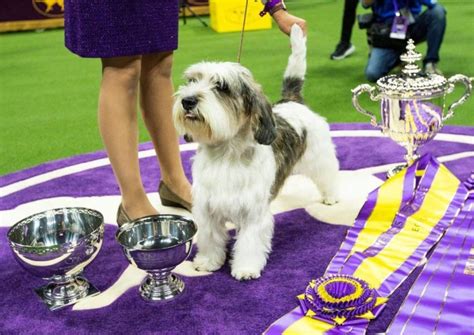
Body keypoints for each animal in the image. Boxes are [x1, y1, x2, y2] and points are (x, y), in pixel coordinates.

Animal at [172, 25, 338, 280]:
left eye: (221, 87)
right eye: (192, 80)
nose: (187, 101)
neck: (225, 155)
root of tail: (292, 100)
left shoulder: (253, 215)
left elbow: (249, 243)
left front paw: (246, 269)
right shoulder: (207, 211)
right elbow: (210, 239)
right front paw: (208, 262)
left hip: (321, 157)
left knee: (329, 176)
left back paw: (331, 196)